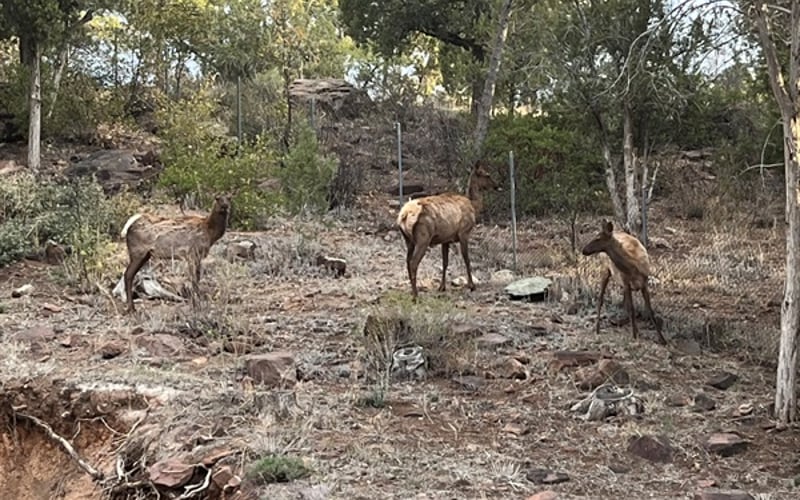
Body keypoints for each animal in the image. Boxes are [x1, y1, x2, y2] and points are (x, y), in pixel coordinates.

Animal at [396, 160, 499, 299]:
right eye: (487, 175)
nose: (497, 185)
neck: (474, 206)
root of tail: (404, 215)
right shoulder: (463, 232)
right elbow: (466, 259)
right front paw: (471, 285)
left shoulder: (446, 239)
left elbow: (445, 262)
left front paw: (442, 287)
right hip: (423, 238)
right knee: (413, 263)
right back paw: (416, 295)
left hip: (409, 240)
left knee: (407, 261)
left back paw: (413, 292)